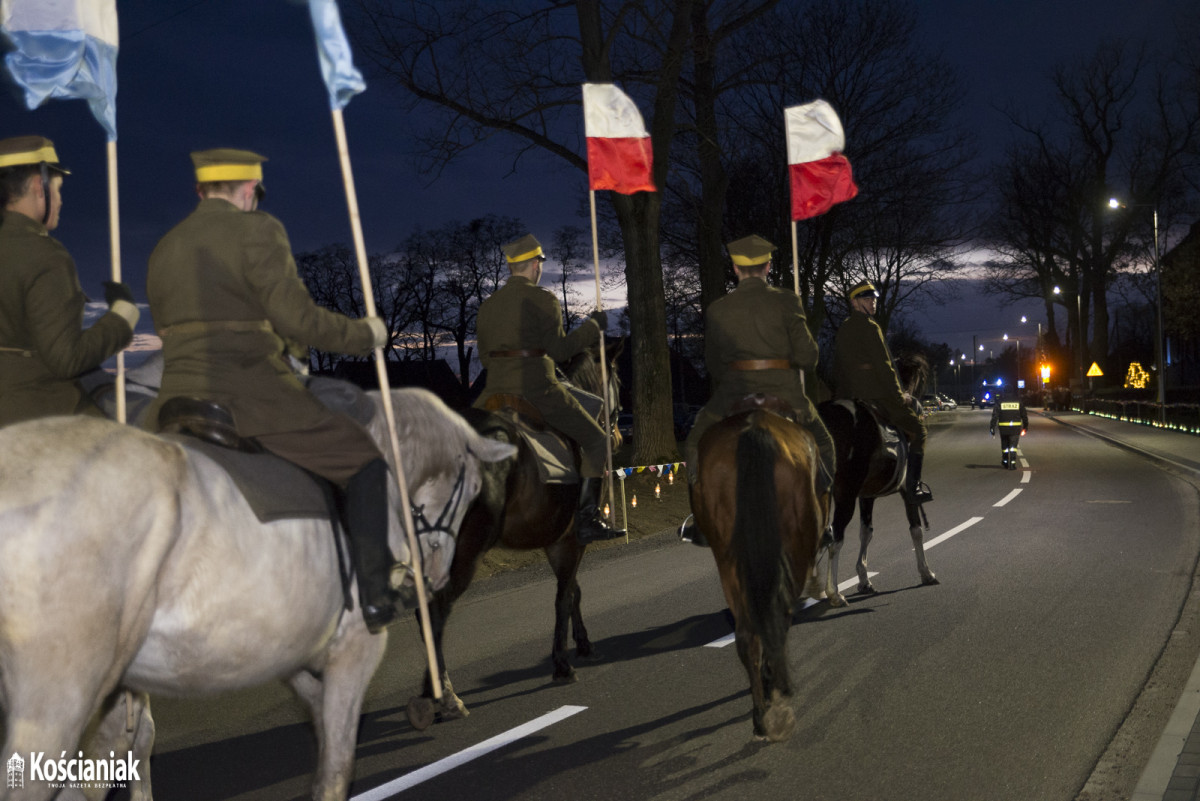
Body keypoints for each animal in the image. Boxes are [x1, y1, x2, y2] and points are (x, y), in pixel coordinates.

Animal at [0, 388, 511, 801]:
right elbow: (335, 768)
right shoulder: (356, 650)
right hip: (61, 698)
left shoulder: (289, 650)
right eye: (473, 488)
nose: (439, 576)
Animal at [417, 335, 624, 714]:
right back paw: (447, 697)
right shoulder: (572, 540)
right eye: (618, 379)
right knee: (437, 610)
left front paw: (583, 645)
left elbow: (573, 592)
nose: (616, 437)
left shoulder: (555, 541)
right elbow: (564, 596)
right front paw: (562, 664)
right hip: (462, 554)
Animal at [696, 410, 825, 743]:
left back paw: (760, 716)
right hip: (792, 551)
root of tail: (754, 429)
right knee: (777, 616)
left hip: (728, 559)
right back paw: (775, 693)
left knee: (746, 634)